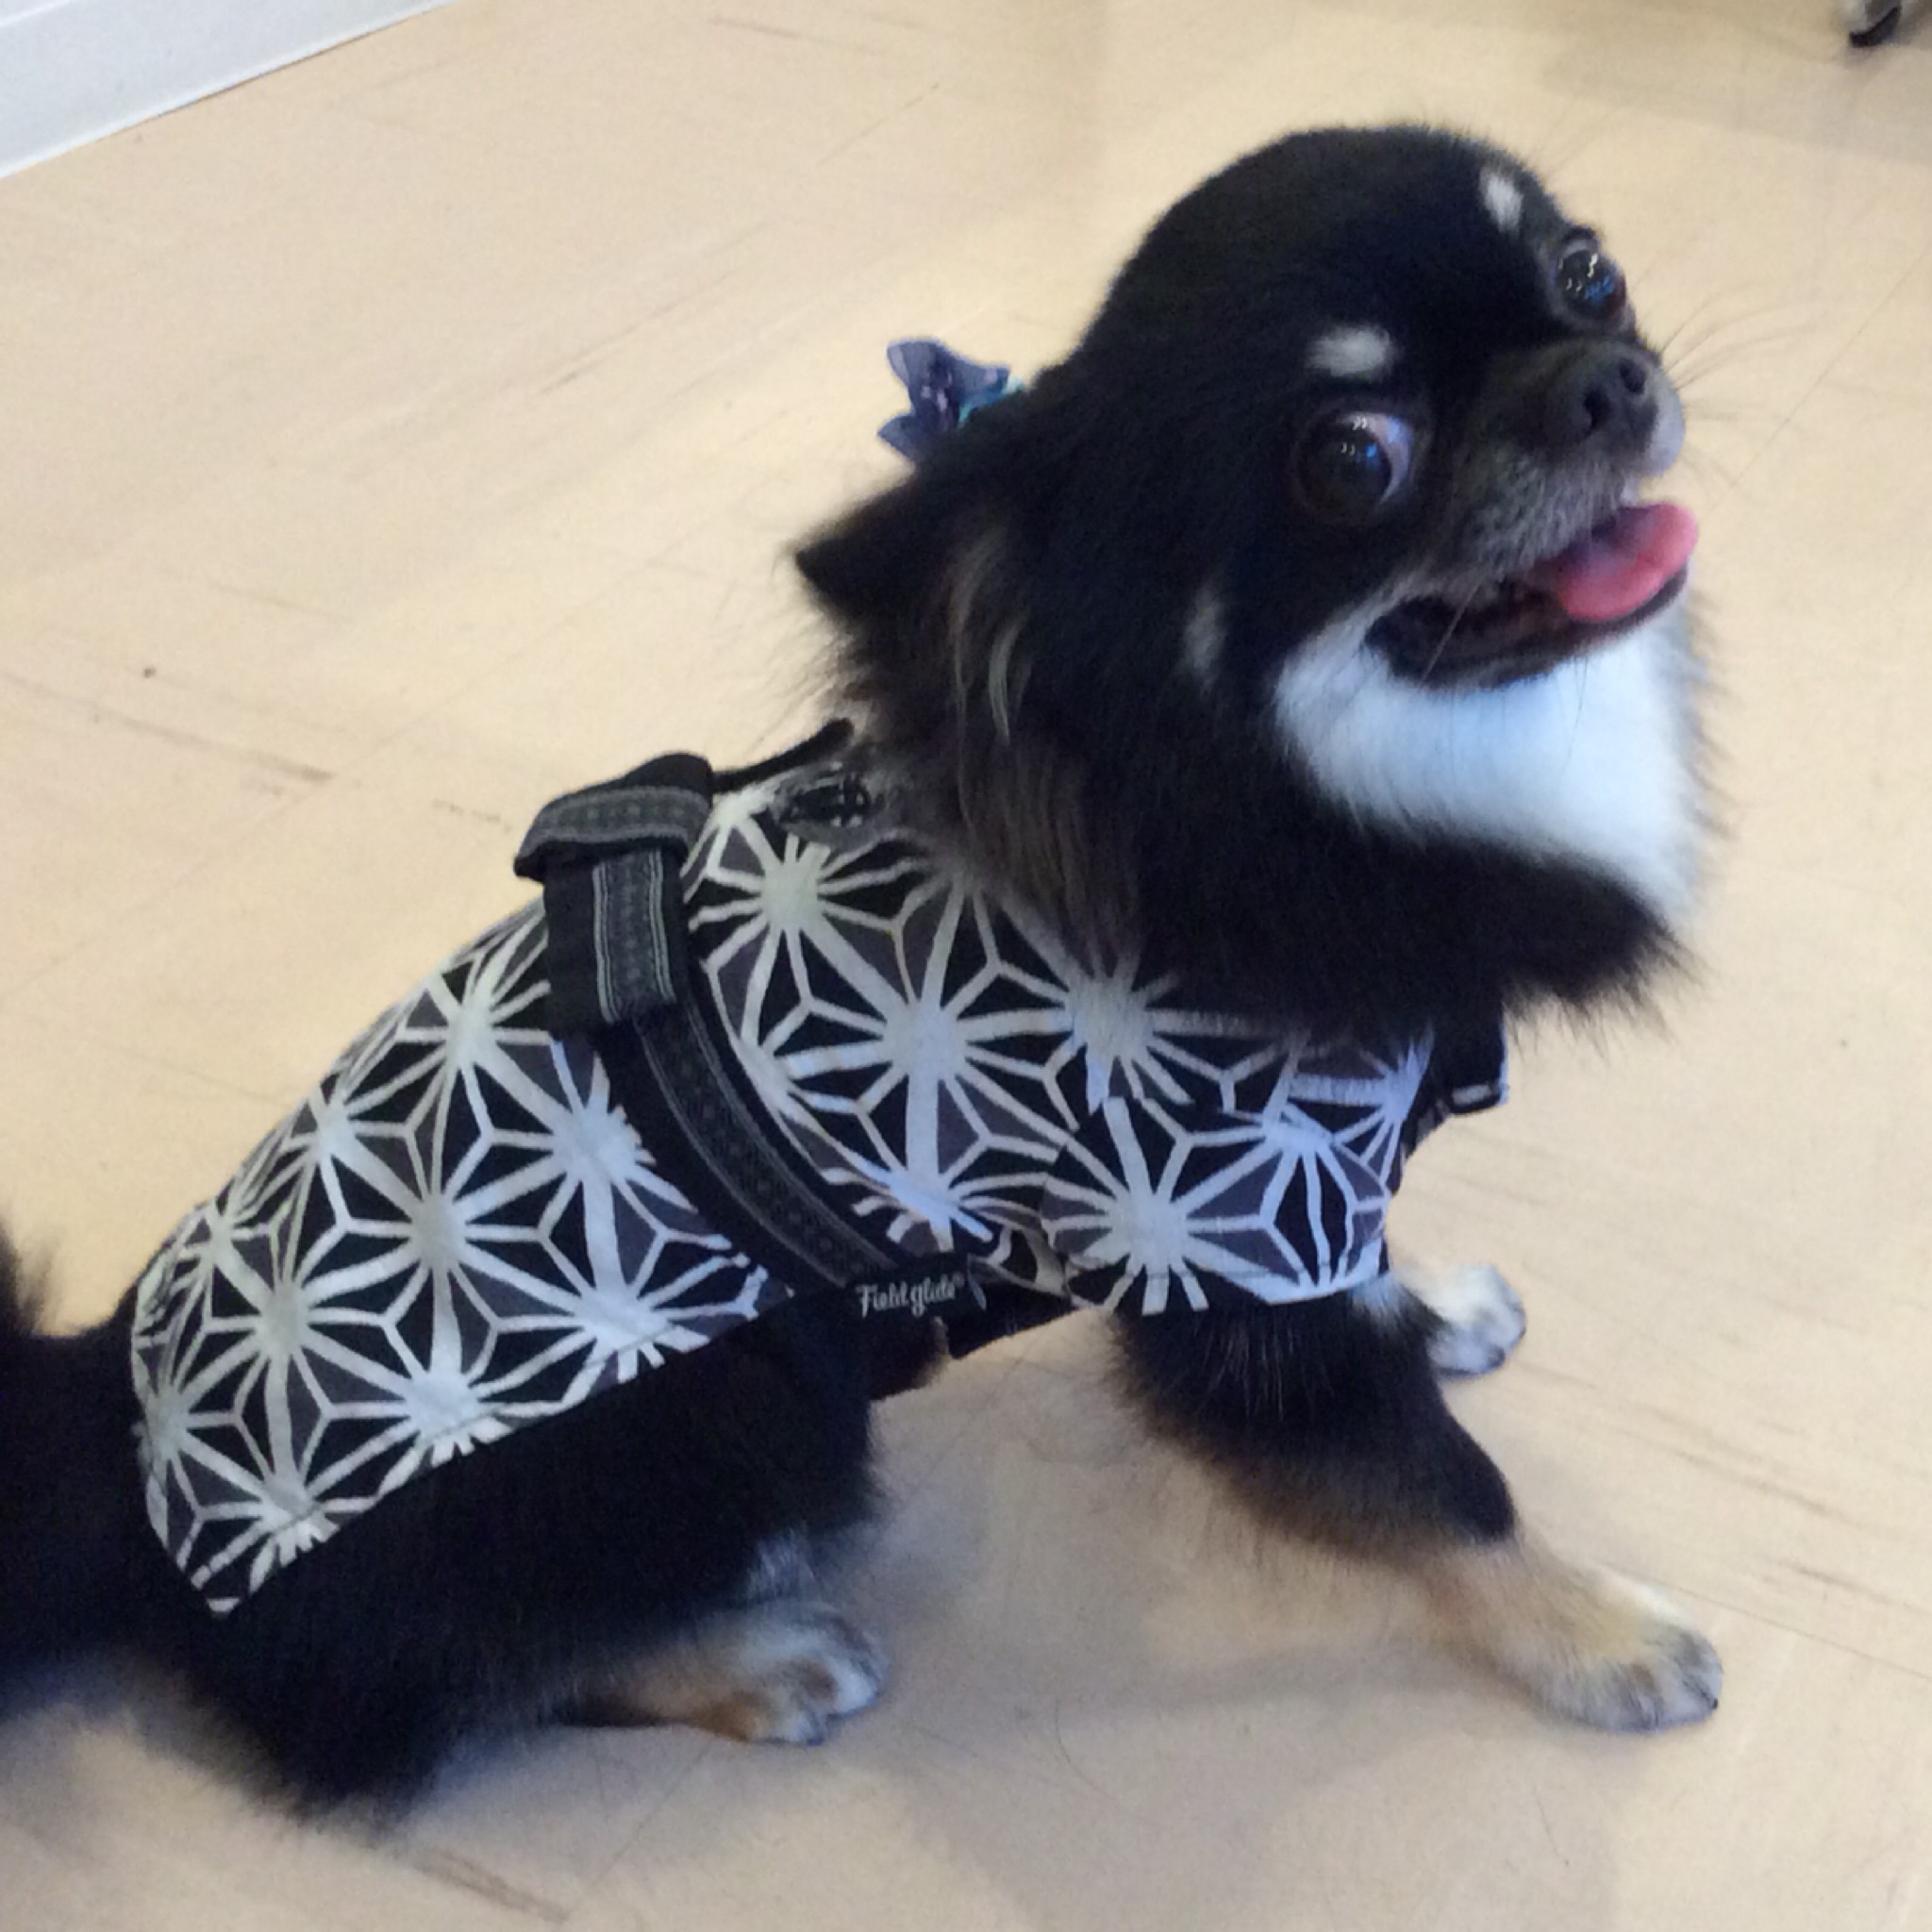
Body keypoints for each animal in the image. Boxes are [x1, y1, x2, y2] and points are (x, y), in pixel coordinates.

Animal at [0, 124, 1719, 1807]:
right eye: (1355, 458)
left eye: (1588, 272)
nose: (1604, 380)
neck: (1313, 790)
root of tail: (101, 1445)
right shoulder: (1213, 1226)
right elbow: (1433, 1488)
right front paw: (1604, 1637)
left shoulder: (1284, 1217)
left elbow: (1376, 1307)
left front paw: (1431, 1304)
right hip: (747, 1413)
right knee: (472, 1691)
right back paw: (756, 1659)